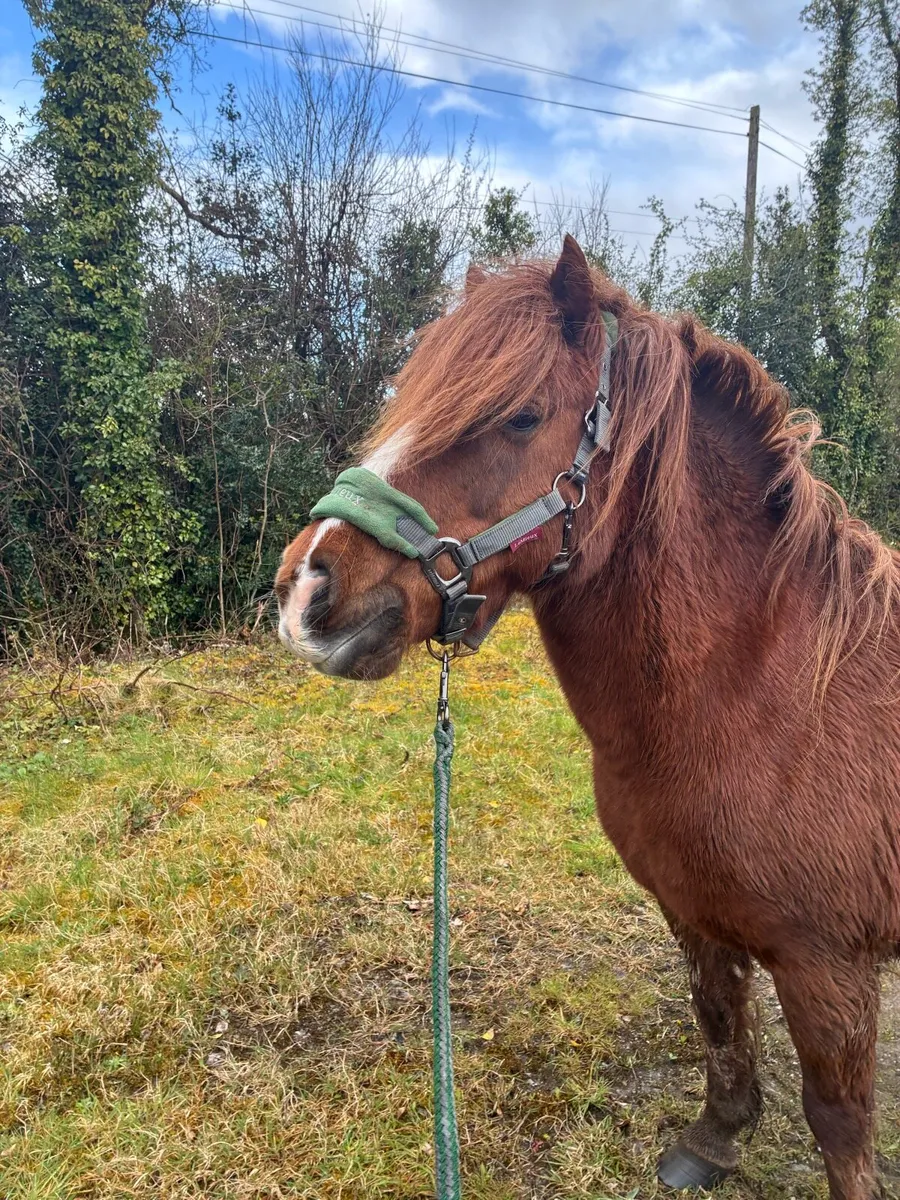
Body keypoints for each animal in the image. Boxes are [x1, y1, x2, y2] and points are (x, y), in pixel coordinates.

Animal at [275, 235, 900, 1199]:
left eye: (522, 417)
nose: (306, 592)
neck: (771, 693)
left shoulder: (828, 963)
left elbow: (838, 1120)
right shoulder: (691, 909)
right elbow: (719, 1018)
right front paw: (717, 1138)